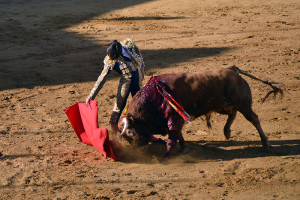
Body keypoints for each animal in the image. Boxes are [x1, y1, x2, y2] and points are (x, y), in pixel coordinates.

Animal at [119, 66, 282, 159]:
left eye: (130, 132)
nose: (140, 150)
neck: (152, 97)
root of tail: (233, 70)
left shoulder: (173, 119)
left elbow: (173, 137)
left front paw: (166, 157)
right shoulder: (176, 119)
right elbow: (179, 134)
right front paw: (184, 148)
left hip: (243, 103)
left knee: (253, 119)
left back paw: (265, 142)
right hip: (223, 105)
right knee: (233, 113)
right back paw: (227, 131)